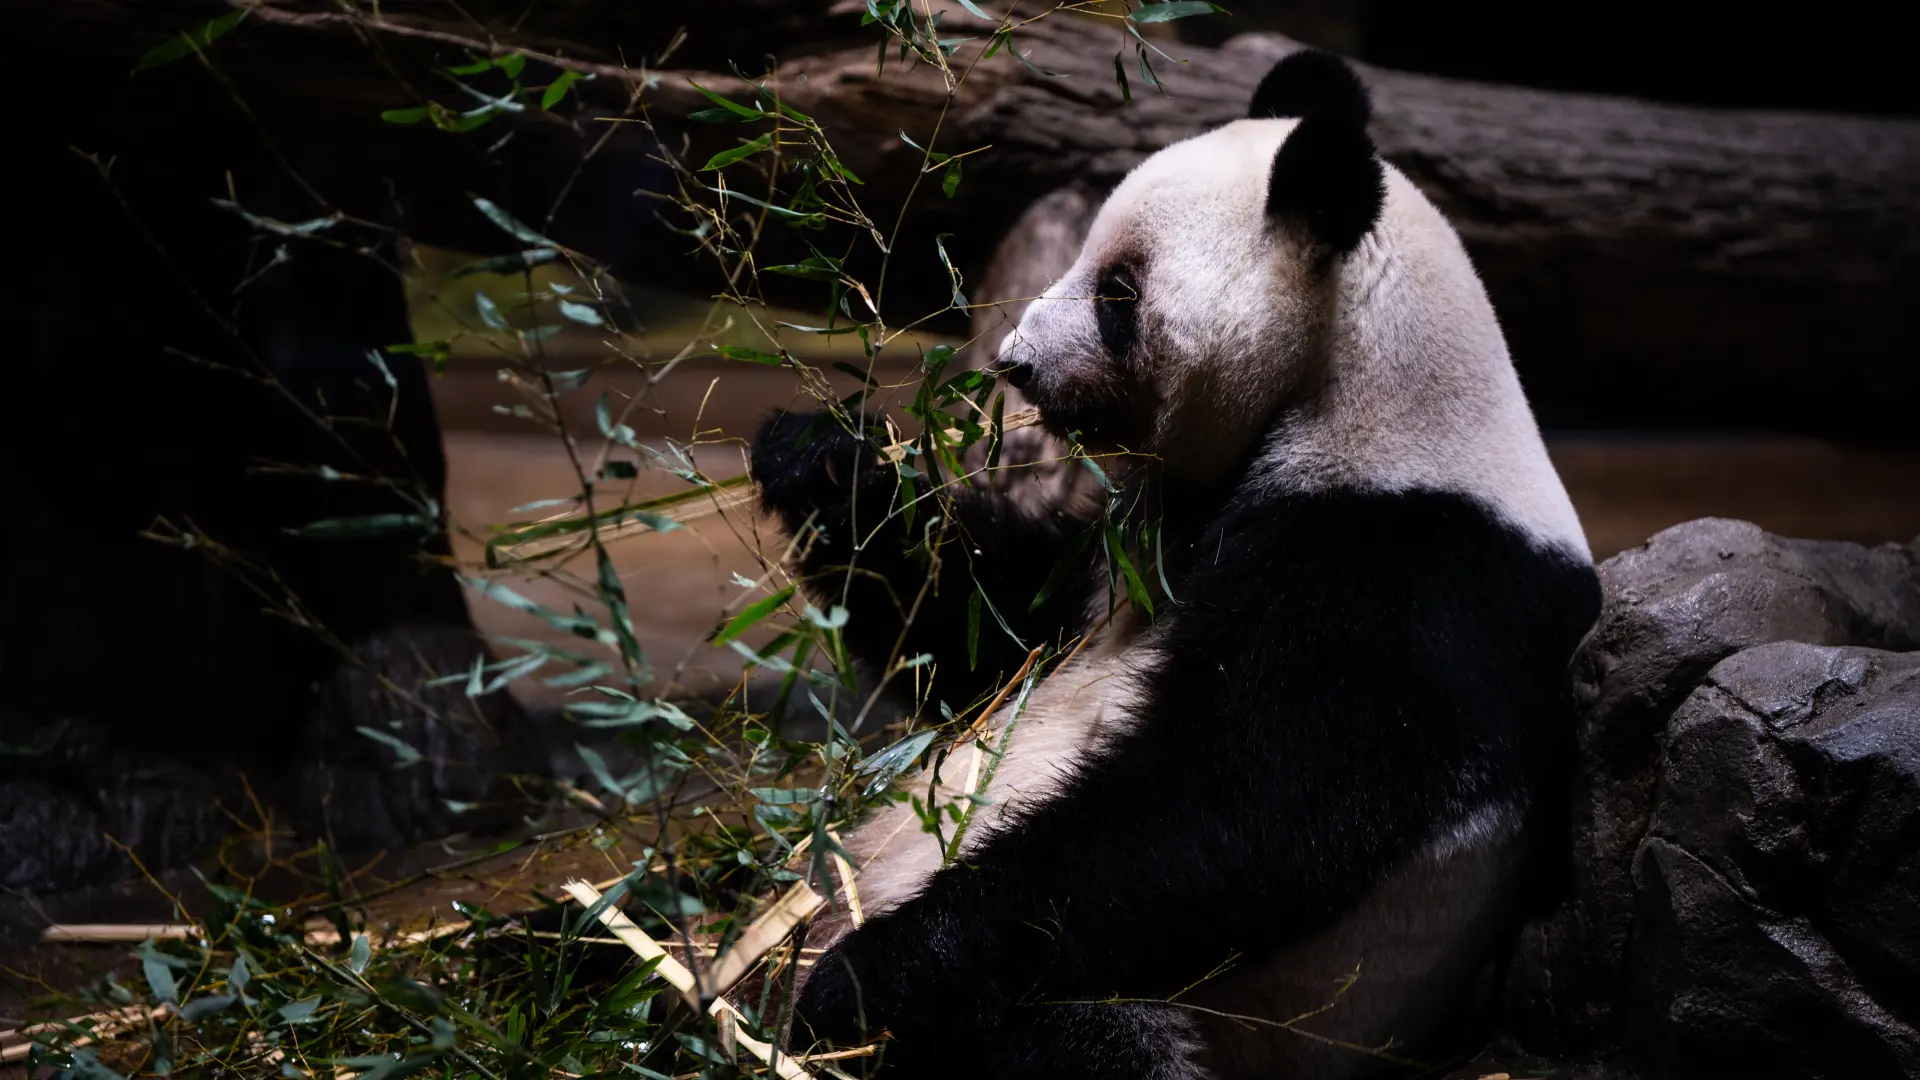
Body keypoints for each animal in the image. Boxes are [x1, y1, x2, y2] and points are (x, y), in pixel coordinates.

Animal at [747, 49, 1603, 1080]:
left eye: (1118, 292)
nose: (1016, 363)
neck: (1360, 391)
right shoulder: (1130, 544)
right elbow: (990, 635)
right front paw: (824, 462)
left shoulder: (1409, 568)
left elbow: (1234, 812)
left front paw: (865, 977)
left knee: (1075, 1041)